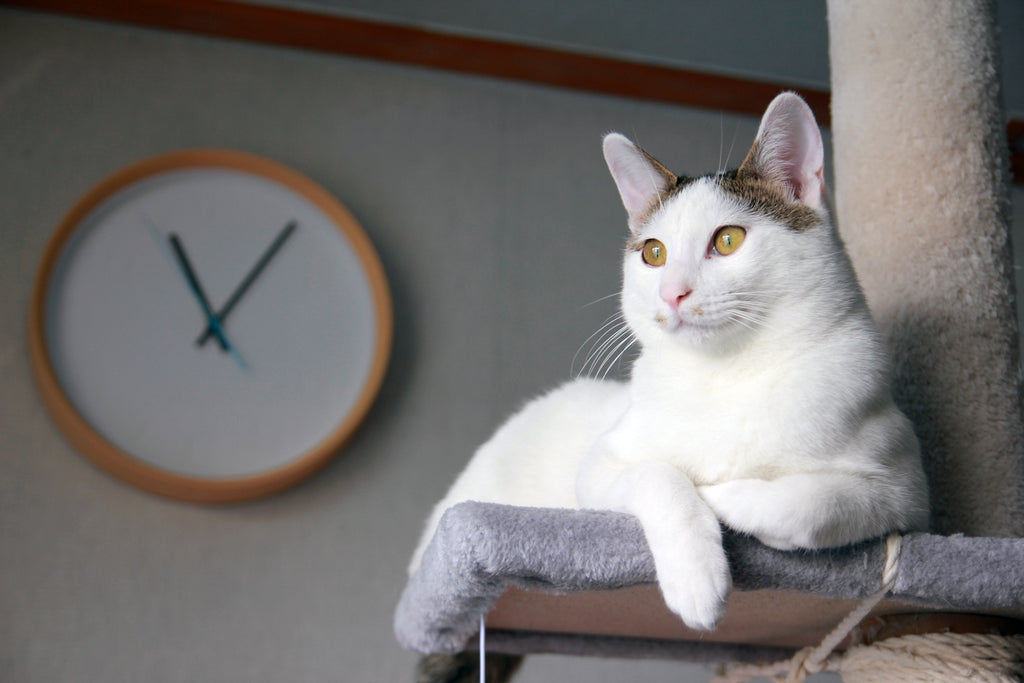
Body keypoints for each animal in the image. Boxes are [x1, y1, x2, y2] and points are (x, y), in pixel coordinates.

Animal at [405, 93, 929, 634]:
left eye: (727, 240)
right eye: (653, 253)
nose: (672, 292)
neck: (727, 373)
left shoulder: (905, 490)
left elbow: (813, 502)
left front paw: (726, 499)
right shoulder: (602, 464)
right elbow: (661, 476)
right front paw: (698, 577)